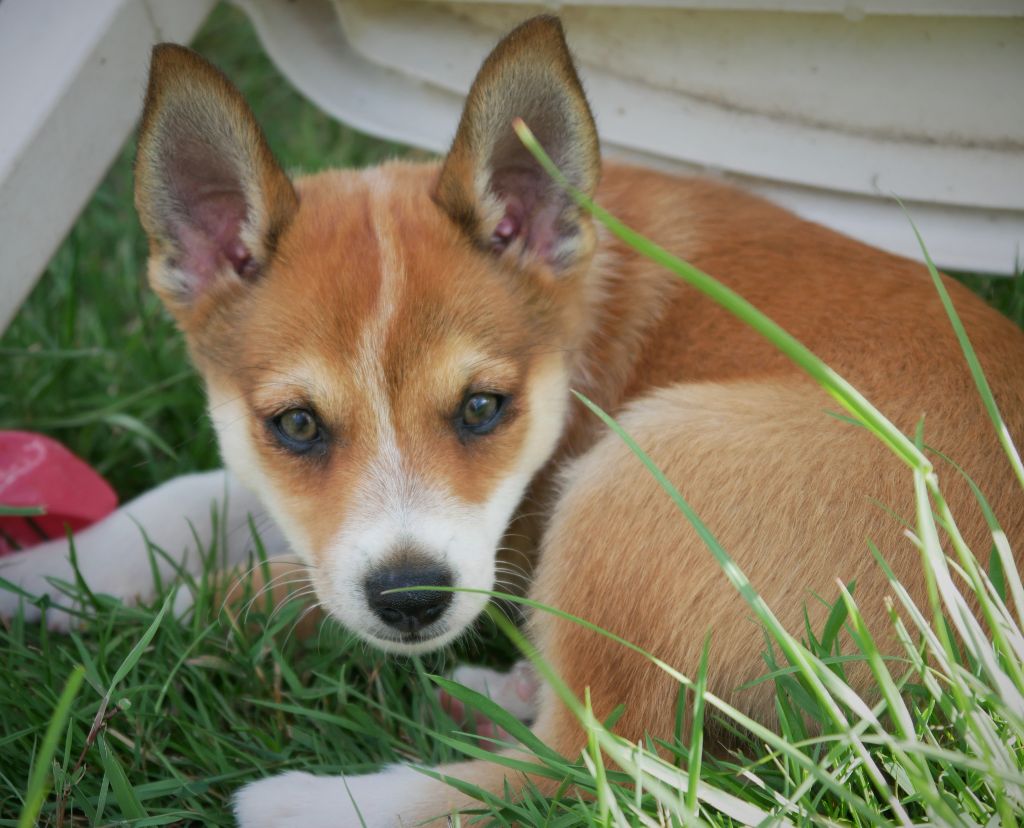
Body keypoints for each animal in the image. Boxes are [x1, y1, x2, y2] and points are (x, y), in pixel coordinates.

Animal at [2, 14, 1024, 826]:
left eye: (482, 407)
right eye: (296, 426)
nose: (412, 601)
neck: (578, 331)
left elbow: (230, 594)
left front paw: (127, 611)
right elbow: (180, 501)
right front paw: (40, 576)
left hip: (637, 478)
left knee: (589, 768)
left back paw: (308, 802)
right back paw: (495, 688)